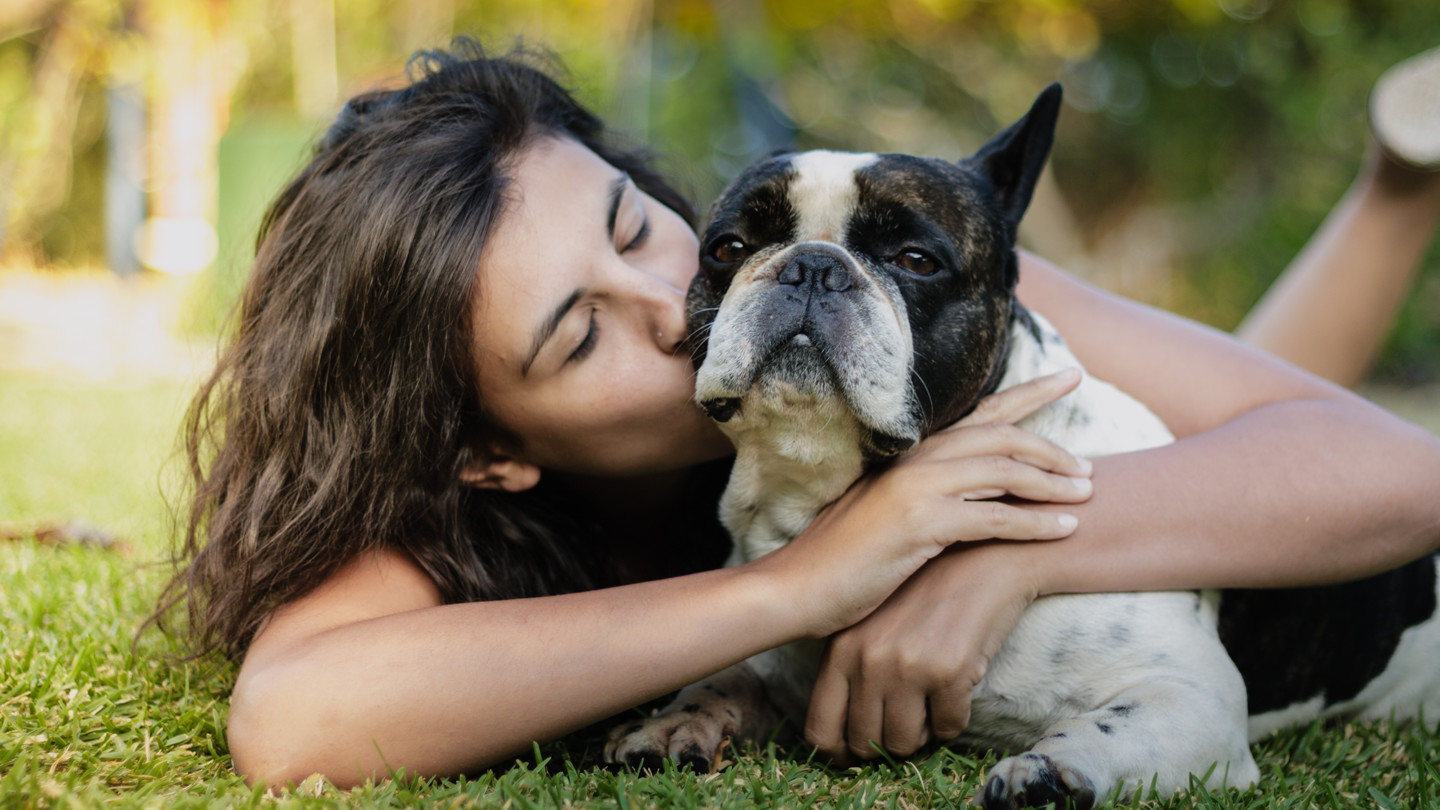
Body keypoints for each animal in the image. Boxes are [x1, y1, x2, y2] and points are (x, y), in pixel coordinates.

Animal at [601, 85, 1440, 801]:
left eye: (915, 260)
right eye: (728, 247)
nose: (811, 266)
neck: (822, 498)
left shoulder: (1186, 694)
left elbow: (1114, 727)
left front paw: (1054, 771)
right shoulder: (771, 665)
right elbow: (722, 681)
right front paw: (675, 722)